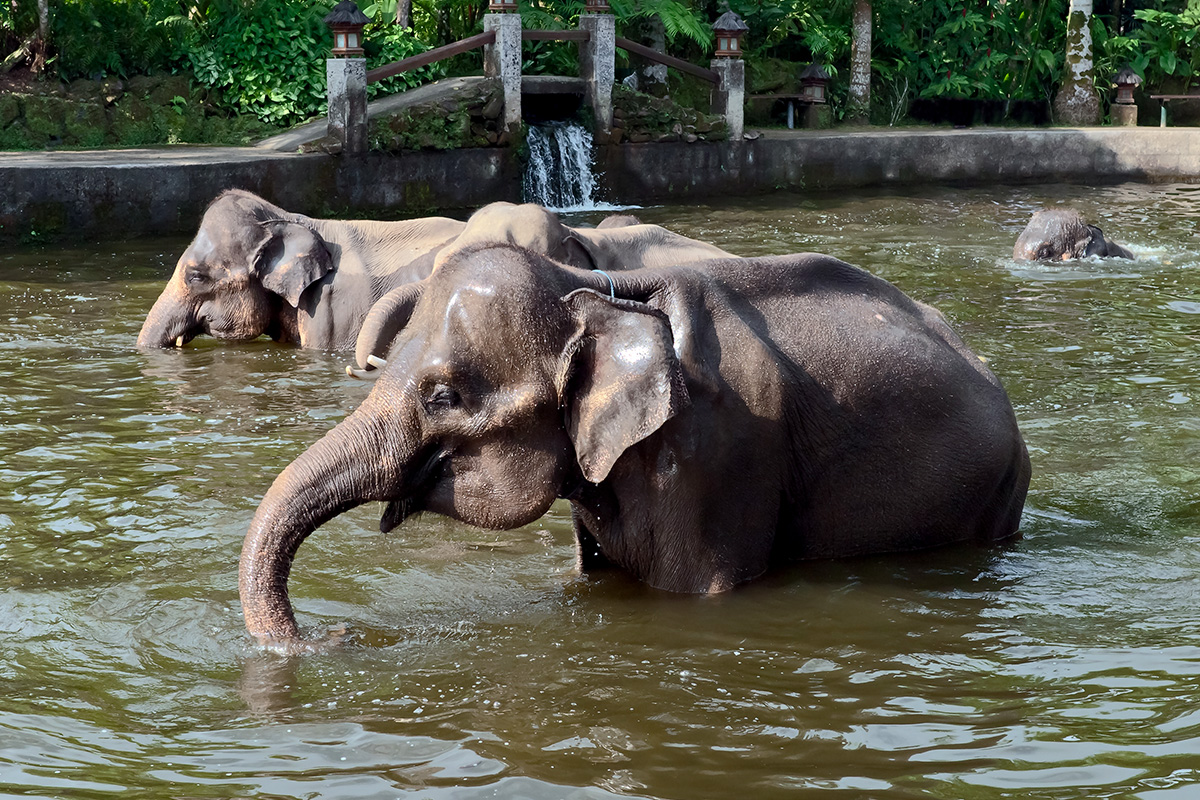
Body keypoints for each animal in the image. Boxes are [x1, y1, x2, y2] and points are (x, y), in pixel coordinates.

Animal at [236, 241, 1032, 647]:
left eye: (442, 397)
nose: (333, 639)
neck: (596, 288)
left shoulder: (721, 459)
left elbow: (694, 591)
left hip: (995, 492)